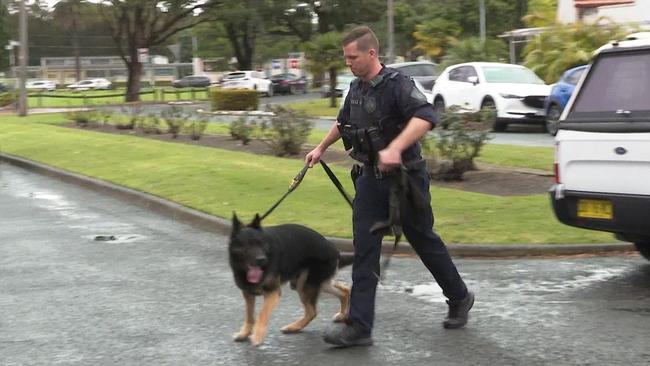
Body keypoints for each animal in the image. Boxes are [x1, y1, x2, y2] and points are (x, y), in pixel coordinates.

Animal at [227, 213, 350, 344]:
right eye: (247, 244)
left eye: (261, 243)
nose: (262, 260)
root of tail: (334, 249)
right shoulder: (248, 293)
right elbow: (249, 315)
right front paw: (244, 333)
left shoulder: (273, 292)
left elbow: (262, 314)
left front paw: (257, 336)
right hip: (313, 283)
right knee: (344, 289)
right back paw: (342, 314)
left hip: (305, 285)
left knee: (312, 312)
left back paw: (293, 327)